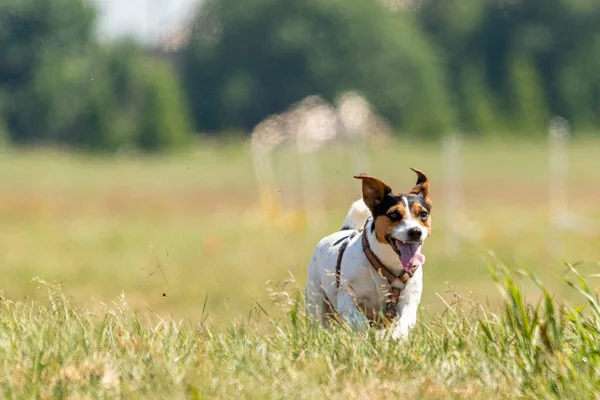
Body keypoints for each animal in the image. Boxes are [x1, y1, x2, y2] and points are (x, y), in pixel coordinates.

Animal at [304, 167, 432, 340]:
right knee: (320, 320)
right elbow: (358, 320)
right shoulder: (345, 295)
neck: (387, 266)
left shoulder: (409, 299)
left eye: (423, 214)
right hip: (316, 300)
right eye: (393, 214)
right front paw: (372, 336)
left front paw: (393, 337)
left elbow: (405, 321)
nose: (415, 232)